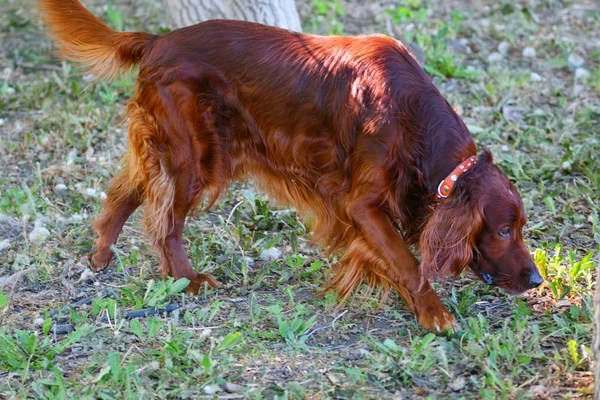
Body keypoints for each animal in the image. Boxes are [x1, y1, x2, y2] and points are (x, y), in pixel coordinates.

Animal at [38, 0, 544, 332]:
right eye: (504, 230)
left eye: (519, 228)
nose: (537, 279)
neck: (413, 116)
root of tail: (157, 41)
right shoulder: (363, 204)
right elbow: (406, 259)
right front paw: (434, 313)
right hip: (197, 158)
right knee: (165, 224)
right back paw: (187, 279)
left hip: (168, 146)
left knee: (125, 191)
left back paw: (101, 255)